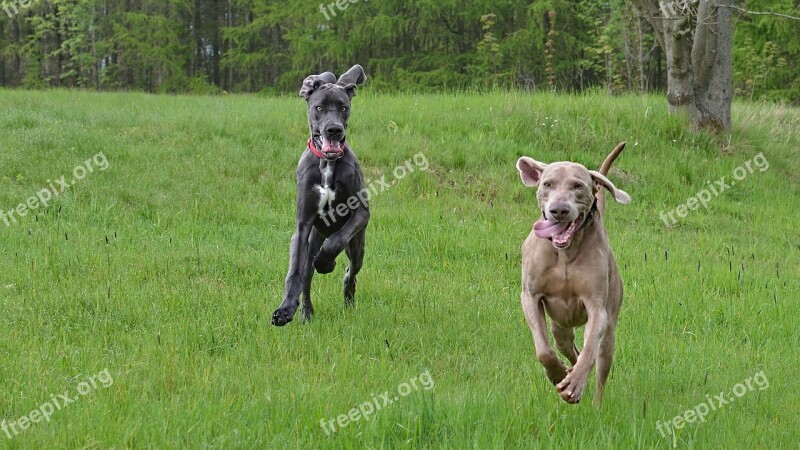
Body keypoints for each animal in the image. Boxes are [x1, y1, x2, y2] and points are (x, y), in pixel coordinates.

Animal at [270, 64, 368, 326]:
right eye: (319, 108)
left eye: (343, 107)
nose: (333, 129)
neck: (327, 164)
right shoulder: (303, 225)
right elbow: (294, 274)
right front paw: (285, 309)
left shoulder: (362, 212)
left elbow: (337, 239)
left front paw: (327, 262)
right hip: (309, 241)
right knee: (305, 275)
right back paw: (305, 312)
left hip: (358, 246)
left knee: (351, 271)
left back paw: (347, 297)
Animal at [520, 143, 632, 404]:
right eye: (547, 184)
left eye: (578, 186)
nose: (559, 210)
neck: (565, 252)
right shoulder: (530, 296)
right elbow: (544, 351)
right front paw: (557, 373)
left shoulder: (597, 307)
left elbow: (590, 348)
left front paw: (574, 384)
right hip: (560, 326)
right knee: (567, 346)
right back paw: (567, 369)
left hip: (610, 328)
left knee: (599, 362)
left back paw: (594, 401)